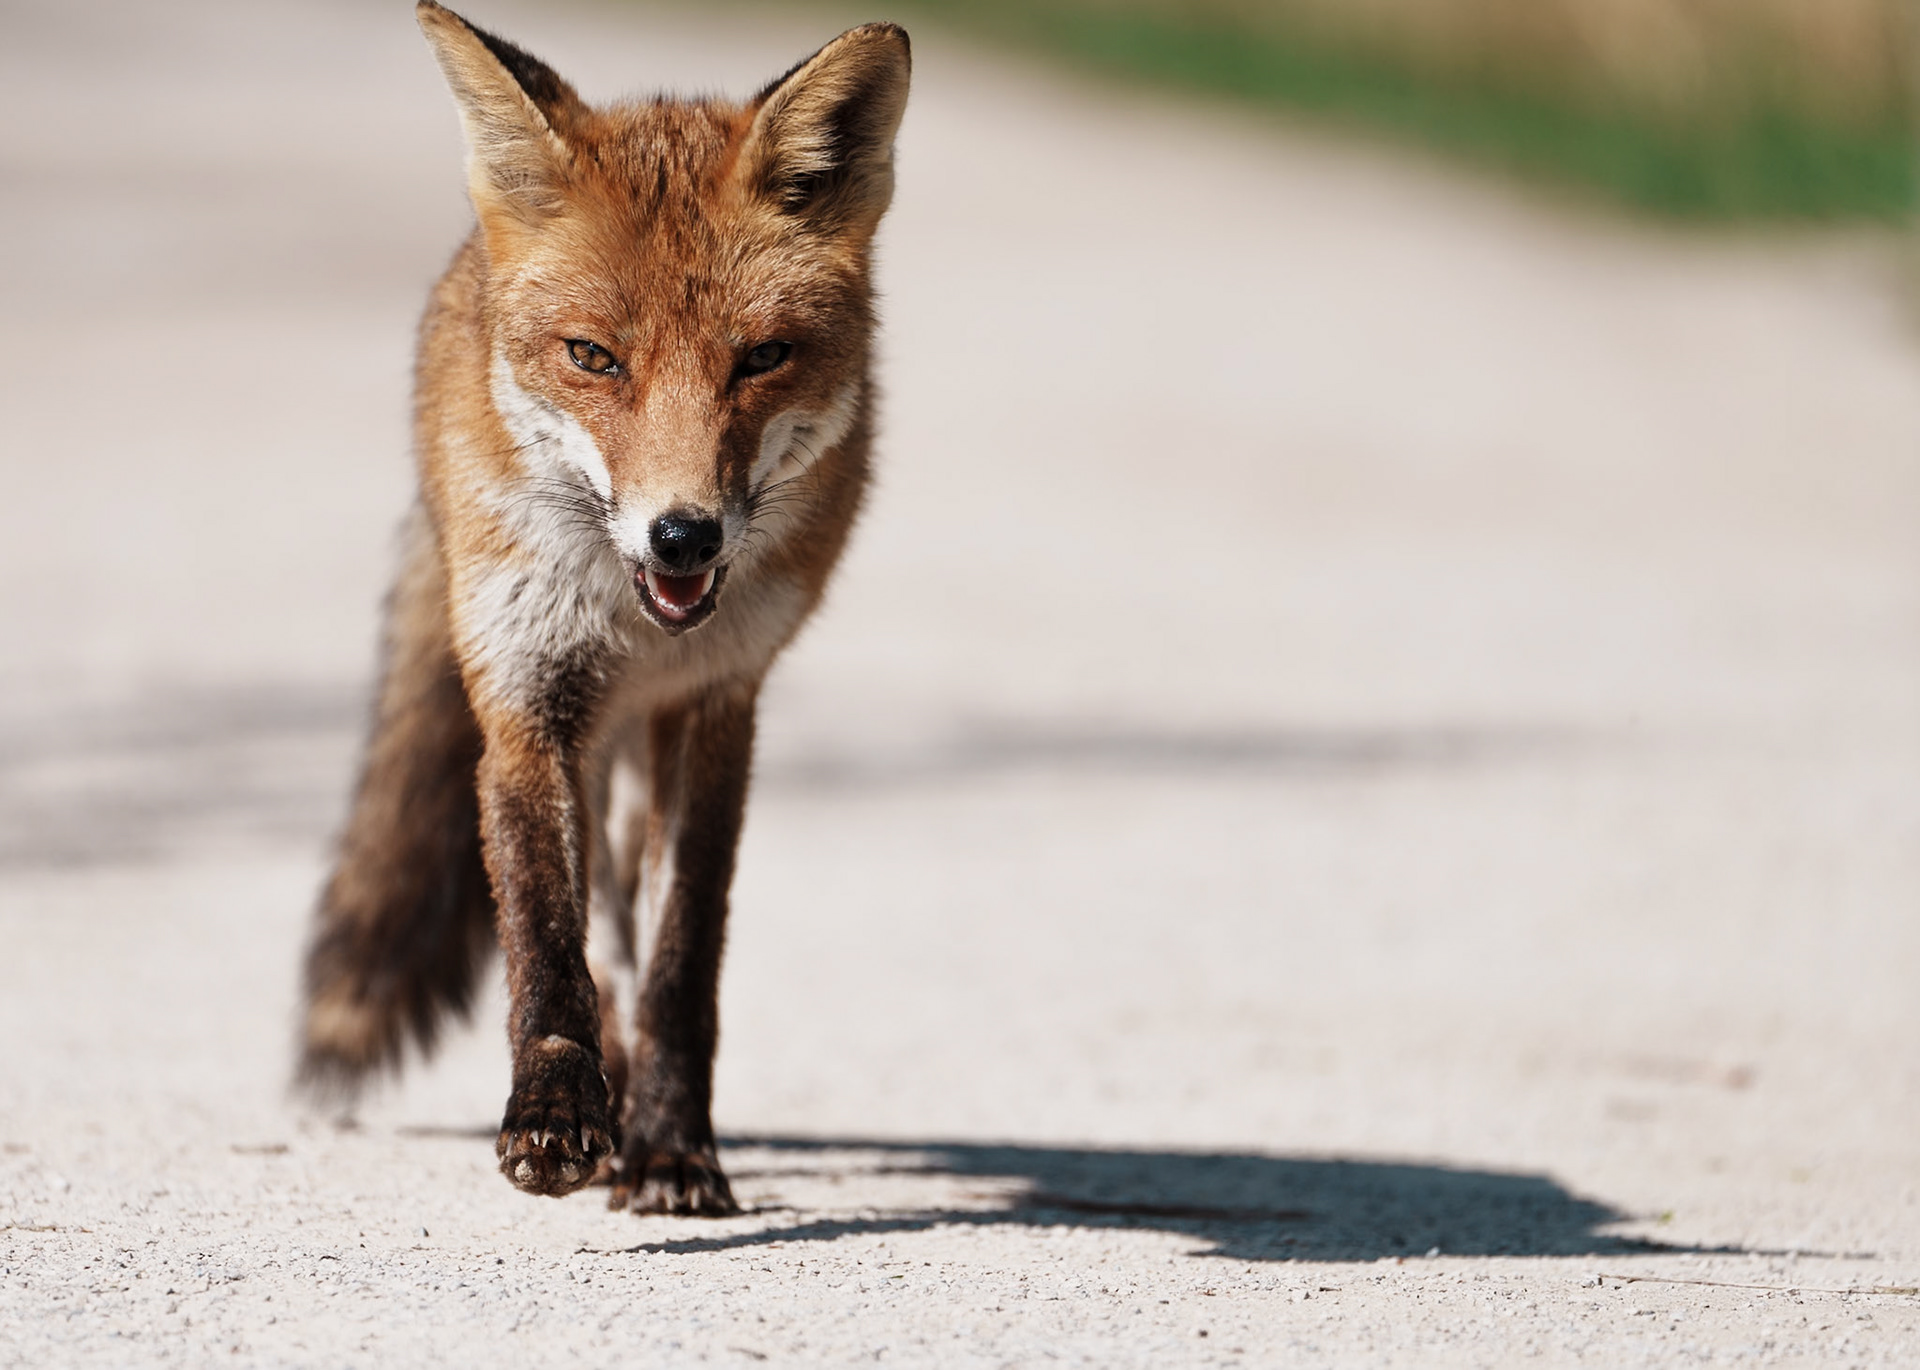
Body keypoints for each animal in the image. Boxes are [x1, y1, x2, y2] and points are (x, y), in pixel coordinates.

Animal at [296, 2, 910, 1215]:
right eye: (592, 357)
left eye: (762, 358)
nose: (684, 535)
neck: (630, 627)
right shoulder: (527, 704)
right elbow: (548, 934)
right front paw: (556, 1113)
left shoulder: (717, 707)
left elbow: (680, 963)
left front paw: (673, 1149)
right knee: (601, 932)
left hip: (633, 757)